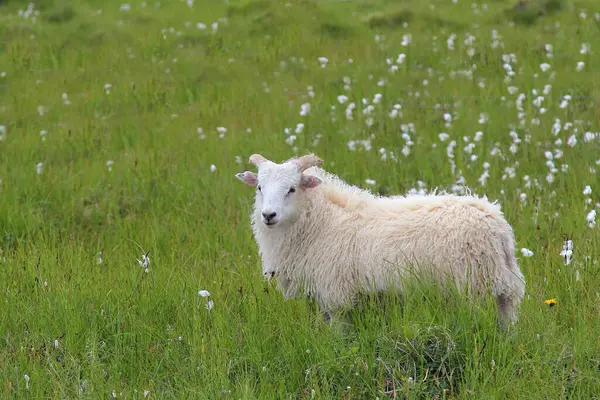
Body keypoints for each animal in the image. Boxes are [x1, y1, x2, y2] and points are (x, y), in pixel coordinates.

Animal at [234, 153, 524, 328]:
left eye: (292, 189)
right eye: (259, 188)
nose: (268, 215)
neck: (320, 221)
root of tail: (496, 222)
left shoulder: (336, 295)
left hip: (474, 286)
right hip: (504, 291)